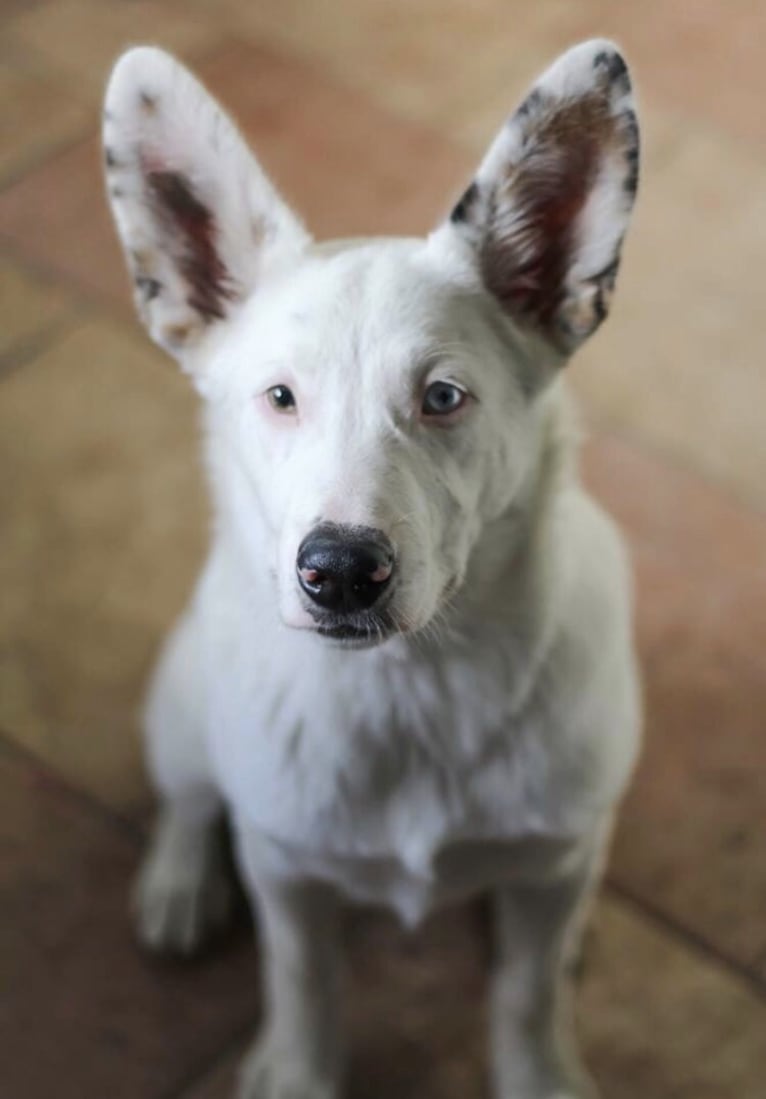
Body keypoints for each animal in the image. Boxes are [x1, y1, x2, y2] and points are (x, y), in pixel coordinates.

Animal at [103, 42, 637, 1099]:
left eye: (444, 397)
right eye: (279, 397)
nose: (343, 571)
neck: (412, 687)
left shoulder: (547, 857)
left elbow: (525, 989)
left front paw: (541, 1067)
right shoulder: (286, 866)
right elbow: (301, 974)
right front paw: (299, 1069)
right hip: (184, 705)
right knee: (190, 795)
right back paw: (180, 879)